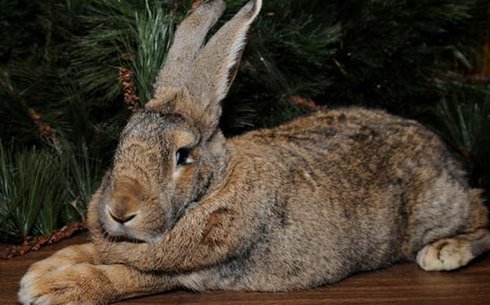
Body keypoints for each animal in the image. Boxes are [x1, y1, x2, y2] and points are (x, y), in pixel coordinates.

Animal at [18, 0, 490, 304]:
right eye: (122, 141)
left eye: (182, 156)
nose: (119, 211)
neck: (212, 191)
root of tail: (445, 156)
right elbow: (94, 252)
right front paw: (43, 270)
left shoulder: (188, 271)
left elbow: (125, 276)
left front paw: (48, 289)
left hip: (436, 209)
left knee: (481, 213)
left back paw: (444, 252)